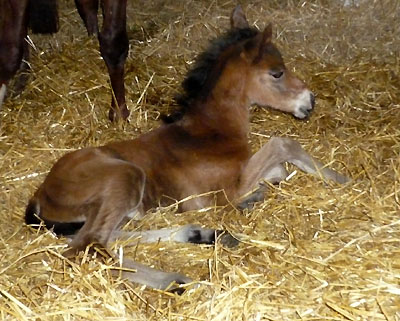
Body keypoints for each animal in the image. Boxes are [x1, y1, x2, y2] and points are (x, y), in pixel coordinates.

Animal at [26, 5, 348, 290]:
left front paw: (259, 194)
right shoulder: (225, 190)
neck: (210, 133)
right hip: (126, 176)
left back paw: (202, 234)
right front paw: (340, 178)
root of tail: (40, 195)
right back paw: (173, 280)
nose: (310, 101)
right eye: (277, 73)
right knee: (87, 246)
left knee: (105, 237)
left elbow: (277, 169)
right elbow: (283, 145)